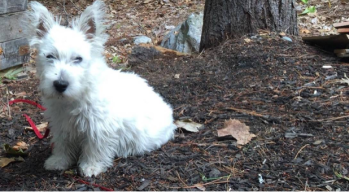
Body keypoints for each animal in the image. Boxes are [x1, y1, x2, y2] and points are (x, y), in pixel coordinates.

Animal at [26, 0, 177, 177]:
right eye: (50, 56)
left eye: (78, 59)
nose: (60, 84)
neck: (76, 96)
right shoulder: (61, 123)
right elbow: (63, 143)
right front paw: (59, 161)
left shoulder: (99, 126)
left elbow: (95, 147)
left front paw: (91, 166)